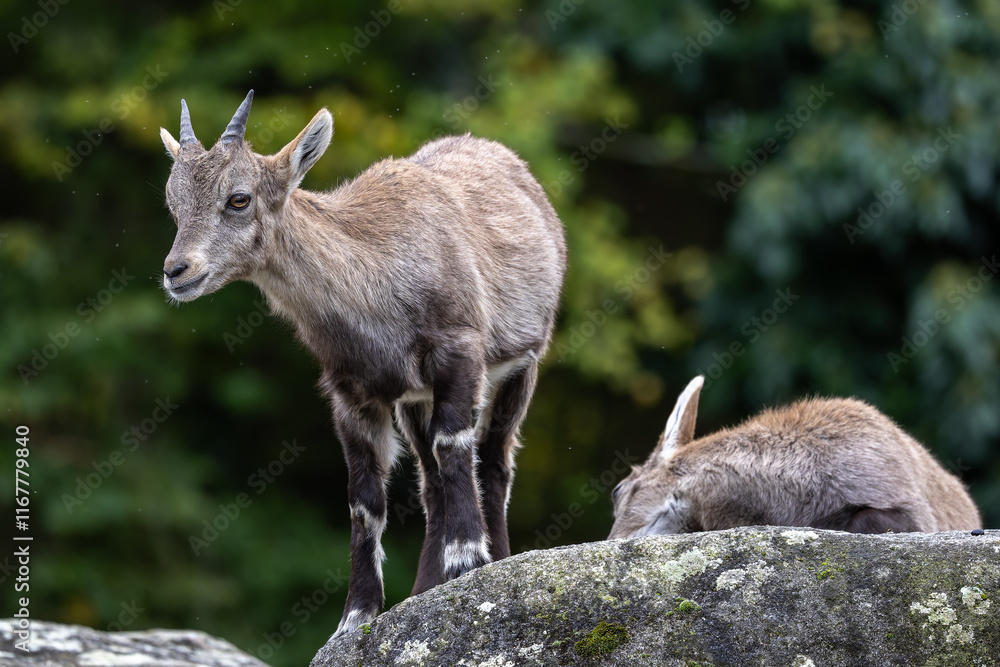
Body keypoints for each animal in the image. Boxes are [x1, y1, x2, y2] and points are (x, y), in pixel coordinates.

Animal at [158, 91, 566, 635]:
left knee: (494, 460)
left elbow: (455, 447)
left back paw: (491, 557)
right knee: (430, 480)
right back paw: (425, 587)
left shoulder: (459, 352)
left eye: (238, 198)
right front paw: (356, 614)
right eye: (173, 202)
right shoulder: (351, 394)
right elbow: (364, 500)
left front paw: (468, 560)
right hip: (413, 401)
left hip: (522, 366)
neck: (377, 287)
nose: (177, 271)